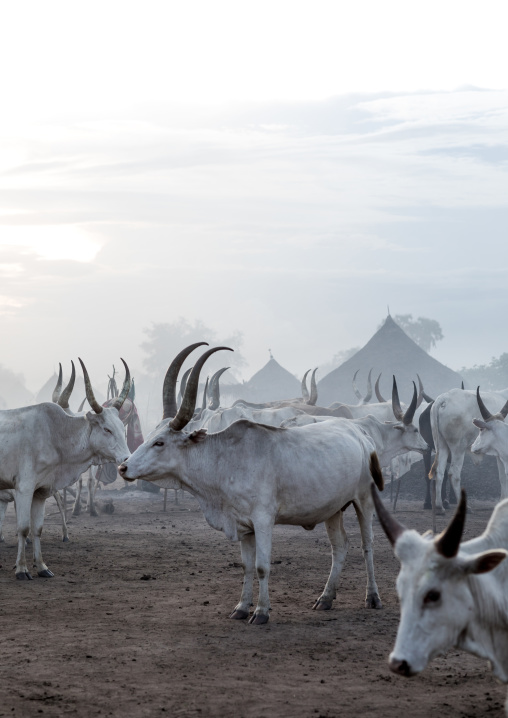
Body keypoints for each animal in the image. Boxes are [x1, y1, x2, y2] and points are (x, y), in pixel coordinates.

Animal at [0, 359, 131, 579]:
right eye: (107, 429)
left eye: (123, 428)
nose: (126, 460)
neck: (54, 433)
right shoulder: (24, 489)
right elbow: (23, 529)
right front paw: (21, 569)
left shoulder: (41, 491)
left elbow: (37, 529)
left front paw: (42, 567)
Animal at [119, 345, 391, 624]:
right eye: (151, 436)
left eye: (159, 442)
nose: (123, 467)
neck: (226, 460)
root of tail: (360, 434)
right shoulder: (244, 526)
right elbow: (247, 566)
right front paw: (241, 607)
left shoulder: (263, 520)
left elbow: (262, 567)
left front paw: (261, 612)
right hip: (333, 509)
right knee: (340, 547)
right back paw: (325, 598)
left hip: (364, 501)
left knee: (367, 545)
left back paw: (373, 598)